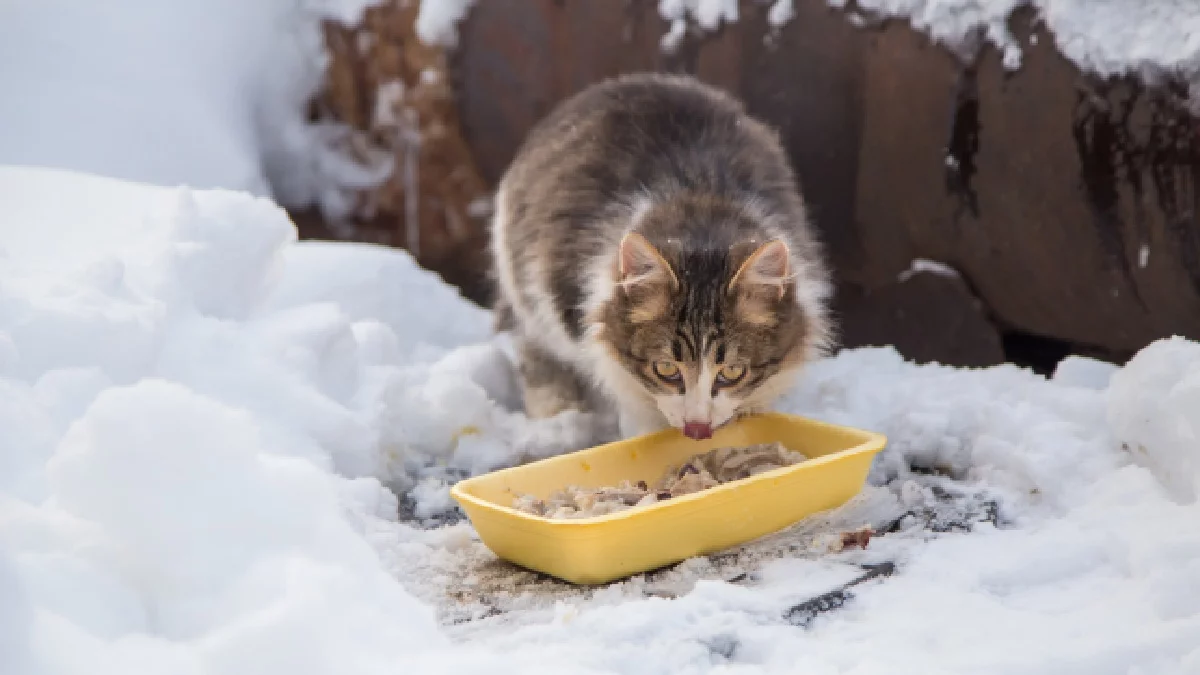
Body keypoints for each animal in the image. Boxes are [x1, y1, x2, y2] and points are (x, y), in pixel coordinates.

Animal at [492, 72, 830, 441]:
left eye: (732, 372)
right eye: (666, 368)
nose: (697, 427)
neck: (702, 211)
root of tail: (633, 79)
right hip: (525, 289)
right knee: (536, 350)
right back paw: (557, 415)